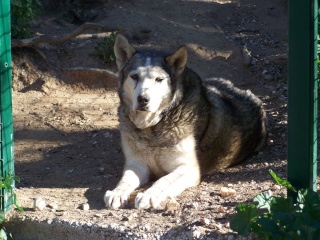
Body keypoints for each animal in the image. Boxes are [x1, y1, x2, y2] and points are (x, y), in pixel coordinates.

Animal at [104, 33, 266, 210]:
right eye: (134, 77)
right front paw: (117, 193)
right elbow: (125, 180)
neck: (153, 126)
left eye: (159, 79)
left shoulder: (188, 169)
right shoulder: (137, 164)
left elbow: (163, 181)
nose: (143, 99)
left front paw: (149, 194)